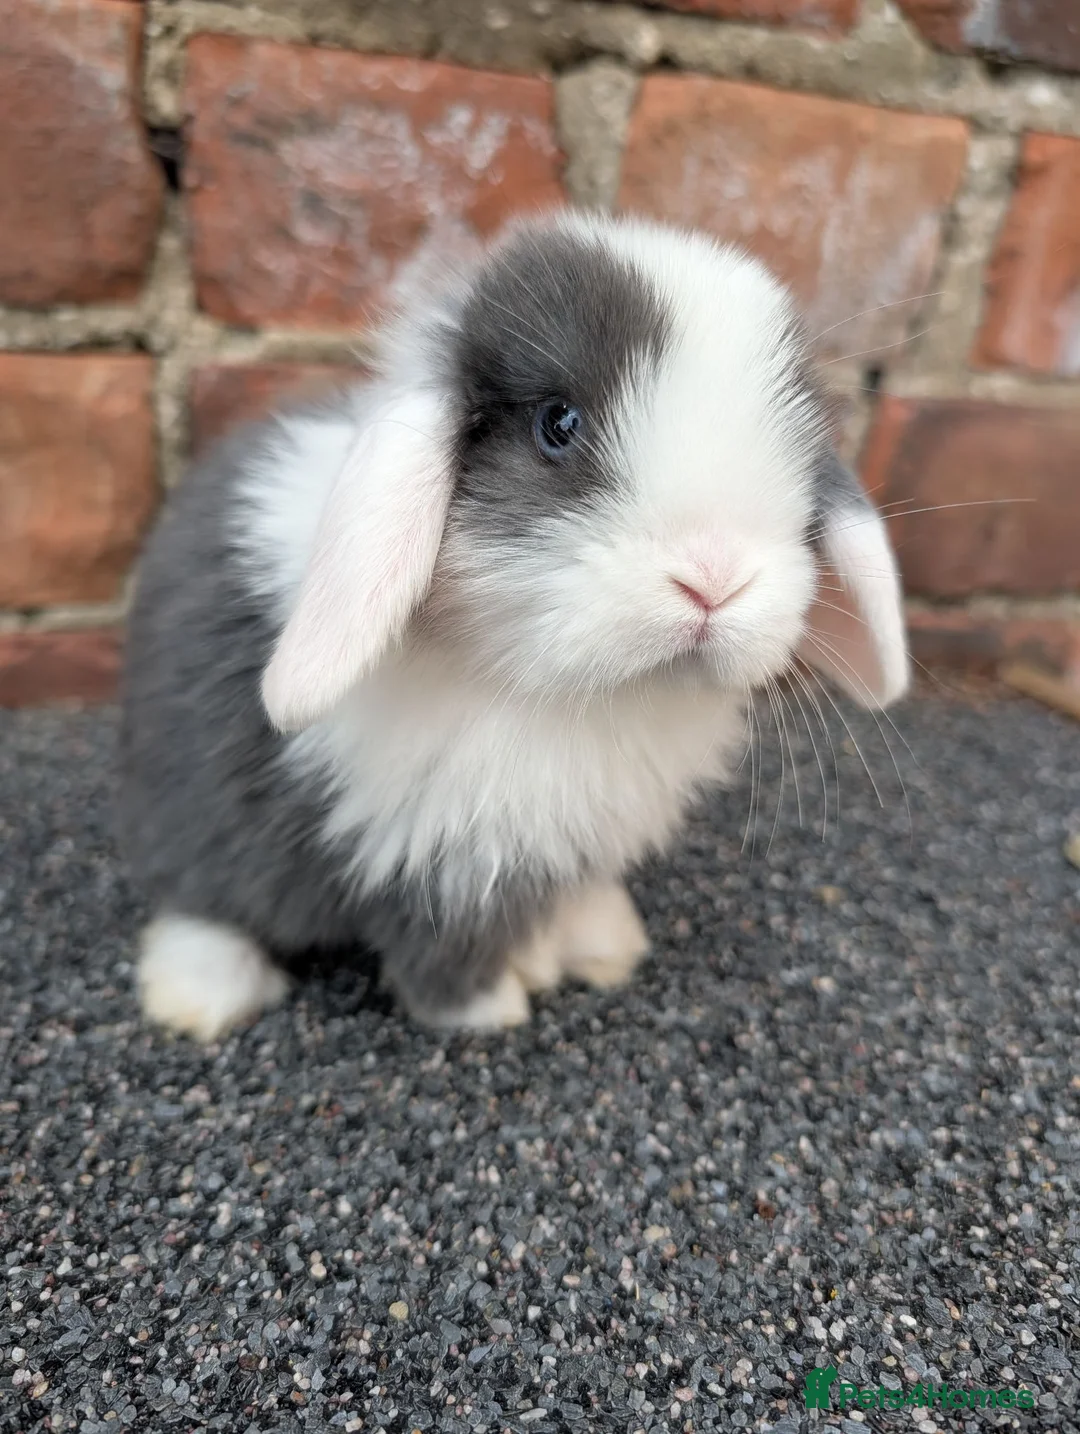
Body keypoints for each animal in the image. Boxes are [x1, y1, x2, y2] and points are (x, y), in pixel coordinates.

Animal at [118, 209, 909, 1041]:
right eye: (557, 423)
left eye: (800, 446)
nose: (714, 581)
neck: (575, 695)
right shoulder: (442, 861)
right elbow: (446, 952)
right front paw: (492, 1010)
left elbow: (573, 899)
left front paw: (605, 946)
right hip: (191, 817)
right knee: (202, 900)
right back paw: (204, 998)